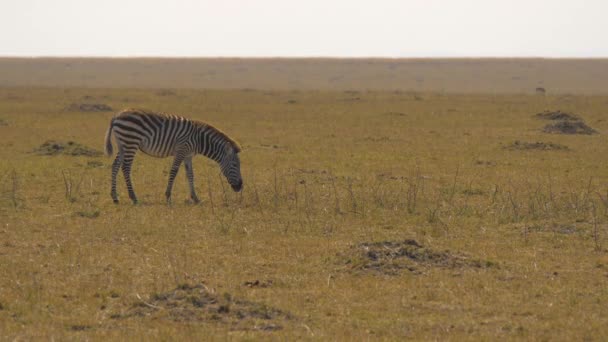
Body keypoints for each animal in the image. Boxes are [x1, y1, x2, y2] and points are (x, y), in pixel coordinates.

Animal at [103, 109, 241, 204]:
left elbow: (190, 175)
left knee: (115, 166)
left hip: (123, 144)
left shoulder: (188, 155)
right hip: (131, 142)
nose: (240, 187)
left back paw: (114, 197)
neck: (199, 139)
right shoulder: (181, 150)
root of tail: (116, 116)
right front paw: (168, 196)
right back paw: (133, 197)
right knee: (126, 168)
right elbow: (174, 171)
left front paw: (195, 198)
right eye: (235, 165)